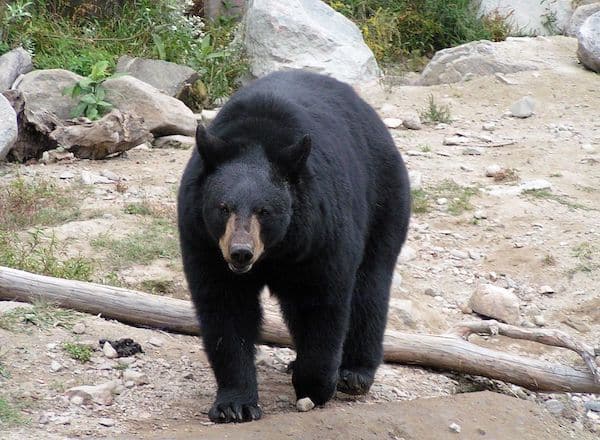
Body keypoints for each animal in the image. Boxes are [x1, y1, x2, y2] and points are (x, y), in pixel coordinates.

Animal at [178, 69, 410, 422]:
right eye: (223, 207)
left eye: (264, 210)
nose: (240, 253)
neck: (276, 250)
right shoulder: (203, 240)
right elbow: (224, 308)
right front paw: (234, 404)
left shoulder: (321, 234)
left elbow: (322, 303)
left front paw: (316, 386)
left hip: (384, 198)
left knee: (370, 286)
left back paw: (354, 373)